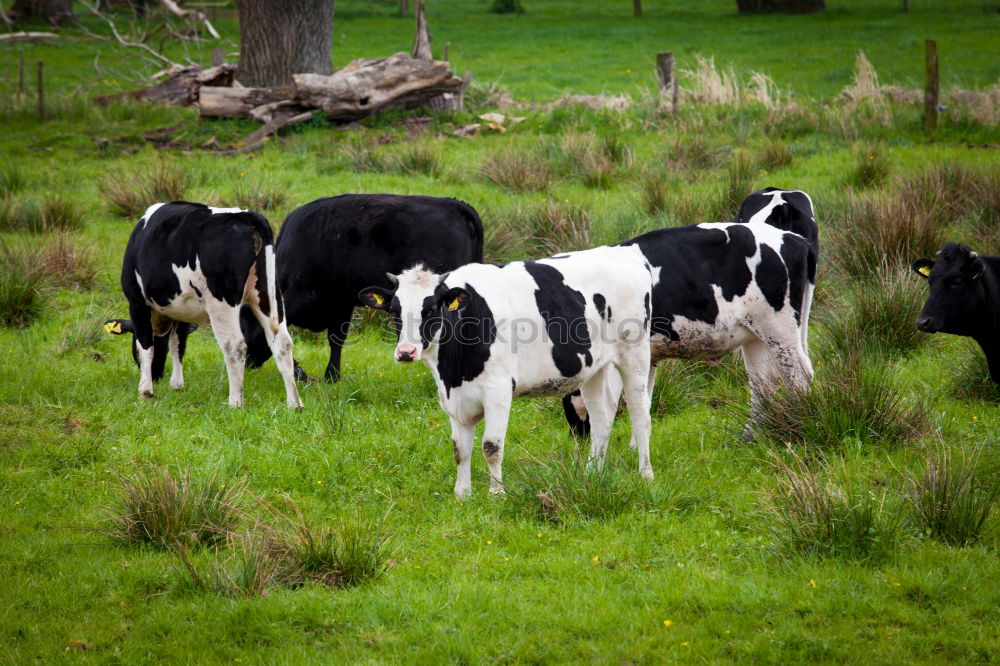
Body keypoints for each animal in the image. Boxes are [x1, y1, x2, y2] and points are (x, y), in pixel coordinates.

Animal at [110, 200, 302, 408]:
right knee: (282, 342)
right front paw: (177, 384)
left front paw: (145, 391)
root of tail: (246, 216)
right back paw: (294, 404)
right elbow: (178, 344)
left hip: (221, 304)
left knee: (235, 346)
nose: (156, 375)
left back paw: (235, 402)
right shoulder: (181, 309)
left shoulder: (136, 301)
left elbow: (145, 345)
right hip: (268, 295)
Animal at [238, 192, 480, 378]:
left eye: (245, 326)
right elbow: (336, 339)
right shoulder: (341, 301)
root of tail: (452, 203)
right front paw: (330, 376)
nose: (246, 362)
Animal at [360, 244, 656, 498]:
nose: (406, 352)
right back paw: (594, 473)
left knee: (640, 415)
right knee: (601, 418)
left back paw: (646, 475)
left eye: (431, 308)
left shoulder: (498, 390)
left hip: (635, 355)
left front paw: (497, 494)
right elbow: (459, 449)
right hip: (594, 367)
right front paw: (462, 494)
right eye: (394, 310)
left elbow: (491, 446)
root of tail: (624, 252)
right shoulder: (453, 397)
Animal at [560, 215, 816, 438]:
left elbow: (612, 404)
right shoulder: (648, 357)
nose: (576, 436)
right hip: (755, 335)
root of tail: (795, 238)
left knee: (799, 377)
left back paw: (801, 424)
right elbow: (646, 398)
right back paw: (749, 437)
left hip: (779, 329)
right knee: (763, 384)